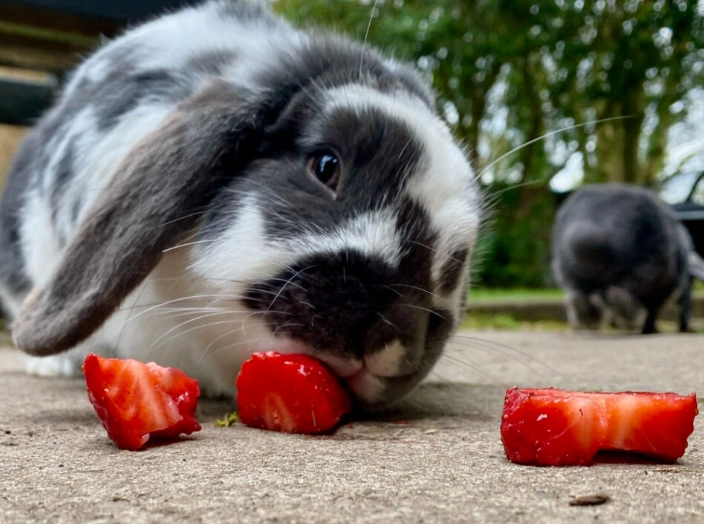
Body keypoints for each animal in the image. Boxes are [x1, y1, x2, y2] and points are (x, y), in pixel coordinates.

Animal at [551, 183, 704, 335]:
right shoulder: (665, 288)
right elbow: (653, 309)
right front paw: (650, 330)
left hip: (567, 269)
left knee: (581, 294)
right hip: (652, 266)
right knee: (621, 293)